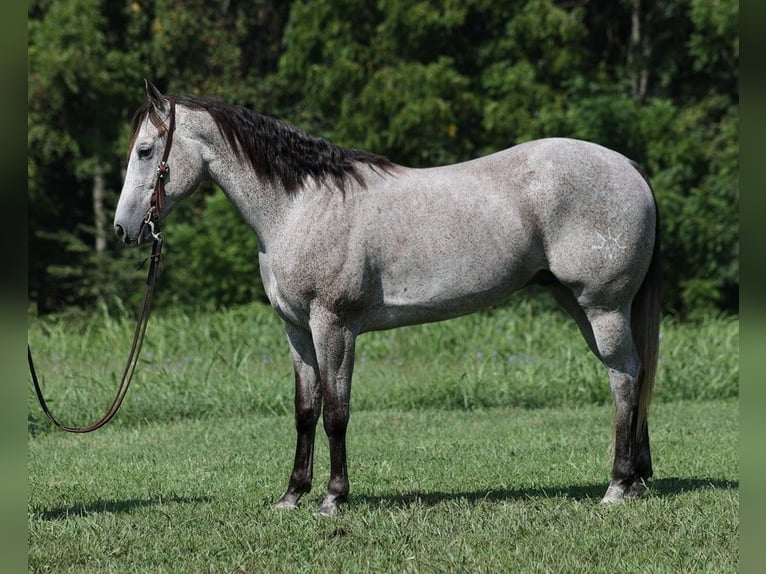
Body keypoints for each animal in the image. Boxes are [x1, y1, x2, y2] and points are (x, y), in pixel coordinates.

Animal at [114, 81, 660, 516]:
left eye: (145, 151)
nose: (124, 229)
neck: (300, 206)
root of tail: (630, 167)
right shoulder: (296, 330)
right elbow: (305, 411)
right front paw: (292, 495)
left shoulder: (334, 326)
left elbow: (336, 412)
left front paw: (333, 498)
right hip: (582, 307)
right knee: (631, 376)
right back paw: (632, 481)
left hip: (603, 307)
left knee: (625, 378)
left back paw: (617, 486)